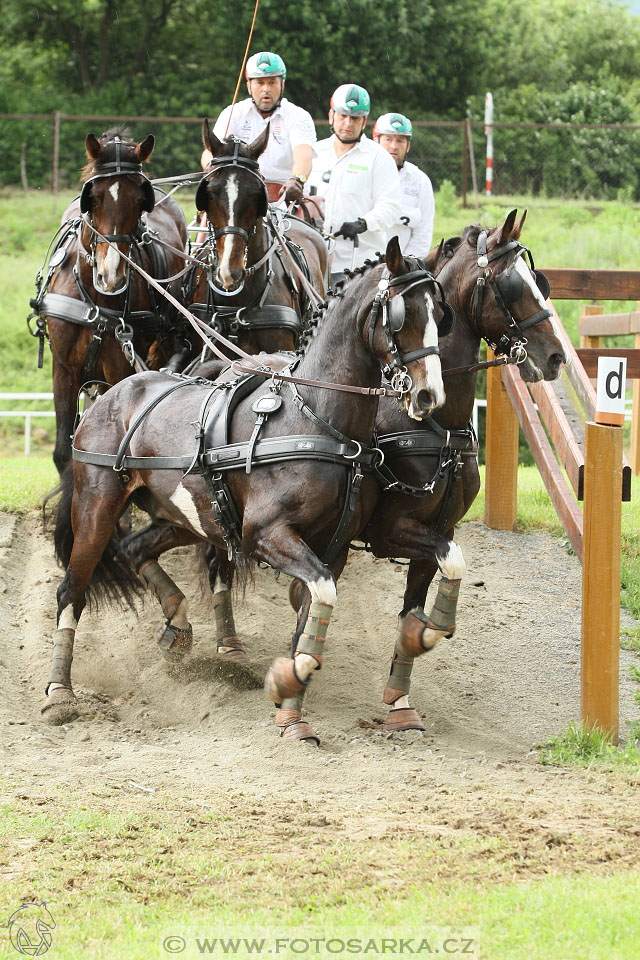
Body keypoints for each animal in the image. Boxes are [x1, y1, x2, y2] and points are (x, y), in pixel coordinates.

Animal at [29, 126, 189, 472]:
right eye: (93, 198)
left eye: (140, 201)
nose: (111, 275)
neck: (95, 303)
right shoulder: (63, 368)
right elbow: (63, 451)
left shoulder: (121, 370)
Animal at [41, 240, 450, 736]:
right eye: (400, 314)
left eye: (440, 313)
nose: (429, 396)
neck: (315, 419)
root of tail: (108, 395)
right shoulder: (267, 535)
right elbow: (320, 595)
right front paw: (290, 685)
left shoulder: (332, 548)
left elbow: (313, 611)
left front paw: (292, 705)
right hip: (97, 510)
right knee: (72, 590)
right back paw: (59, 692)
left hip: (189, 518)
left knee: (136, 548)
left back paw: (177, 625)